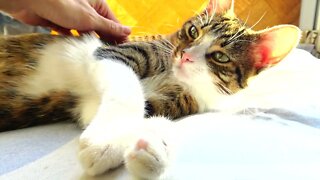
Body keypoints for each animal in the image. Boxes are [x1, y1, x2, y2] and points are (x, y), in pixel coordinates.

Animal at [0, 0, 300, 179]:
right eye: (193, 32)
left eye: (220, 57)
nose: (186, 56)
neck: (176, 77)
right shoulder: (112, 53)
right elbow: (126, 91)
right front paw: (105, 141)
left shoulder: (177, 100)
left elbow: (154, 116)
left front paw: (152, 148)